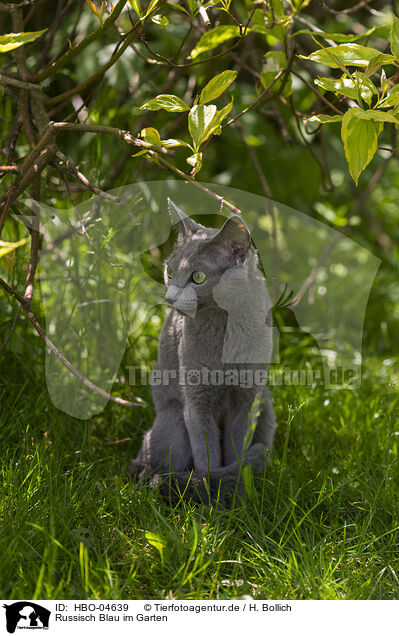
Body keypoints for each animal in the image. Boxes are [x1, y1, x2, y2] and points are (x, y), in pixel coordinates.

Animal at [130, 199, 276, 502]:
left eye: (198, 277)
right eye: (169, 272)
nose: (170, 297)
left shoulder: (247, 397)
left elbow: (236, 446)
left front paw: (234, 483)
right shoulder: (196, 398)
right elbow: (205, 450)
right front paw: (209, 488)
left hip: (266, 405)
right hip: (173, 417)